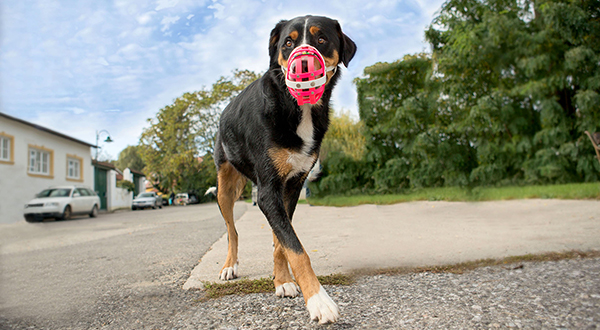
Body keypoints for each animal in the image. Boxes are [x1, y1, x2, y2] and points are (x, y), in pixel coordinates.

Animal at [213, 14, 354, 322]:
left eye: (321, 39)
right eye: (288, 42)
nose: (303, 63)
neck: (298, 109)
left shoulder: (292, 186)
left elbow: (283, 242)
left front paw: (283, 281)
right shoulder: (268, 191)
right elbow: (296, 249)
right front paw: (319, 300)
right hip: (224, 187)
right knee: (232, 230)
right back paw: (229, 266)